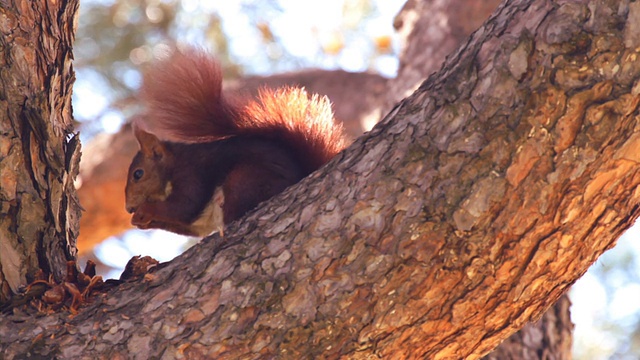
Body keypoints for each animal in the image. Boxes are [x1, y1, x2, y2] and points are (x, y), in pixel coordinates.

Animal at [124, 49, 344, 238]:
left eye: (138, 174)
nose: (129, 208)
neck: (173, 163)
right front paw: (140, 219)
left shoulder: (191, 173)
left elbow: (184, 206)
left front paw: (145, 210)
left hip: (245, 180)